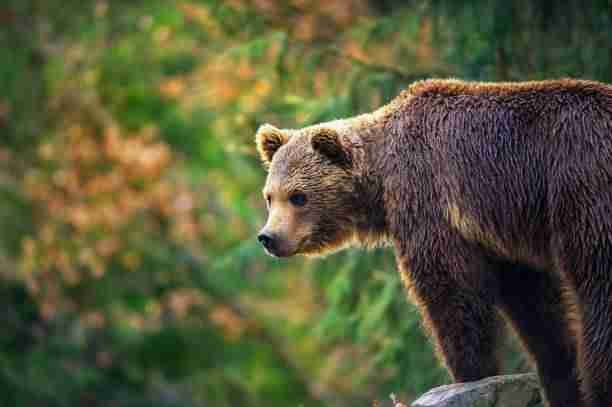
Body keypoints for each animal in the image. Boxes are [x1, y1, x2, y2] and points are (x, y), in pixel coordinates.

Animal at [256, 79, 612, 407]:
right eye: (270, 196)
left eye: (298, 196)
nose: (268, 237)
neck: (381, 180)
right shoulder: (505, 235)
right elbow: (535, 306)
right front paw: (561, 382)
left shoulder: (429, 197)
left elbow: (449, 289)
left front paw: (470, 375)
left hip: (581, 184)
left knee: (597, 286)